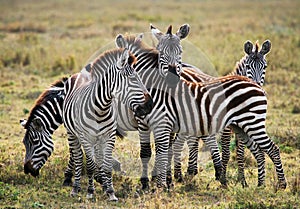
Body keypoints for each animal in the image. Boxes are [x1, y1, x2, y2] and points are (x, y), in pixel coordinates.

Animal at [171, 40, 272, 187]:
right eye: (248, 66)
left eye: (264, 66)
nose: (257, 85)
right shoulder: (226, 128)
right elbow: (225, 151)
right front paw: (223, 177)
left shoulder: (241, 124)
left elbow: (240, 151)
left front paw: (242, 180)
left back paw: (188, 171)